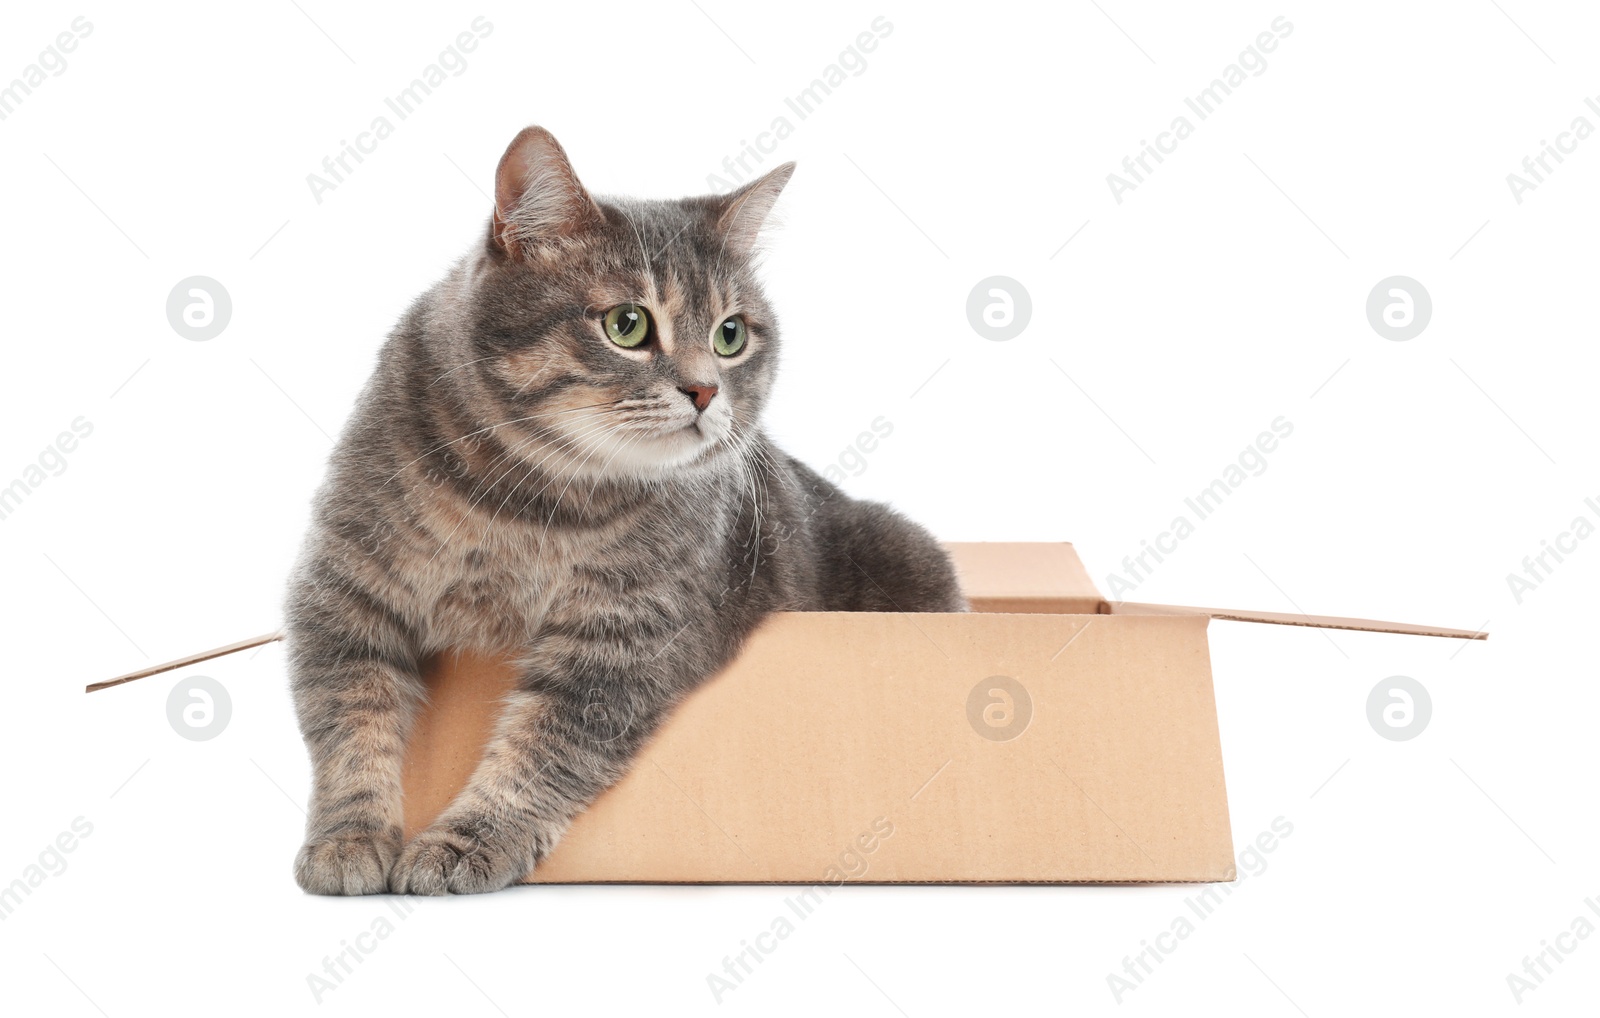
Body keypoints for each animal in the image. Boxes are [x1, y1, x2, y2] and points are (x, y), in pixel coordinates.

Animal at [284, 128, 960, 896]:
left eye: (731, 335)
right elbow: (349, 723)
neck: (529, 501)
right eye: (627, 325)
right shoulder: (343, 591)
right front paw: (349, 837)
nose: (705, 390)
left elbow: (540, 752)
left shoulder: (623, 641)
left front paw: (464, 842)